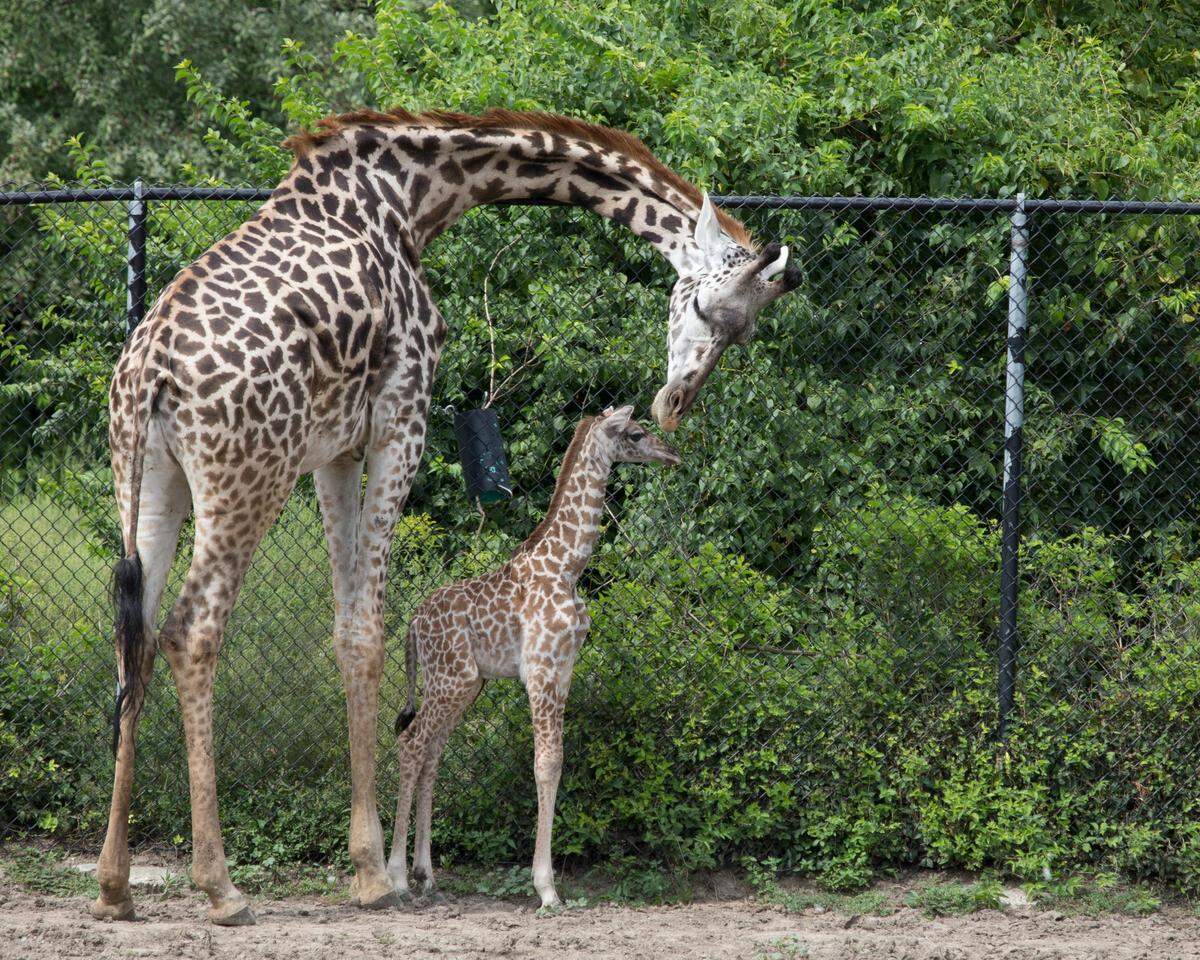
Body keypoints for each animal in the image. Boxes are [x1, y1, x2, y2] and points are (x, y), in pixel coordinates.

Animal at [388, 405, 679, 909]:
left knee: (431, 752)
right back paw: (398, 877)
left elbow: (557, 760)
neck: (568, 565)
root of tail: (413, 625)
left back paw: (427, 874)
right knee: (411, 744)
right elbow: (545, 763)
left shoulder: (563, 670)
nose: (672, 454)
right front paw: (546, 887)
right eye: (637, 433)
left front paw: (546, 881)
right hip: (451, 680)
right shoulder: (541, 669)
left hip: (465, 683)